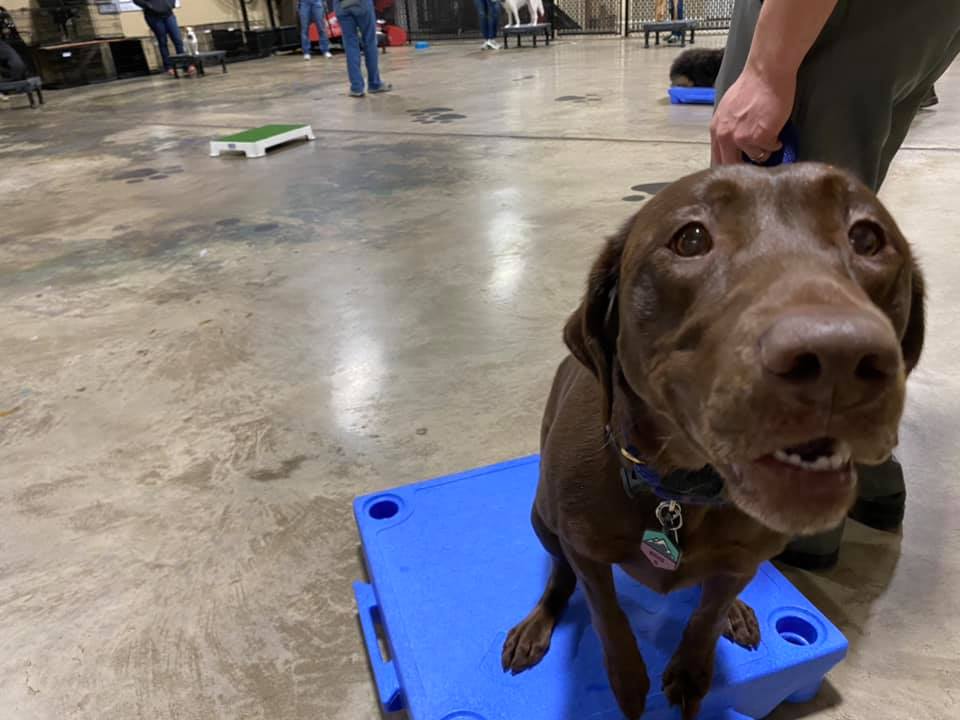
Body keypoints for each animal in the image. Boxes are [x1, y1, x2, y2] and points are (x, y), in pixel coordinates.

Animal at [501, 163, 925, 719]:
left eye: (868, 238)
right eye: (691, 238)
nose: (839, 358)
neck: (679, 494)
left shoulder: (742, 556)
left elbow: (708, 609)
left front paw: (692, 668)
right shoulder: (585, 550)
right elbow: (606, 612)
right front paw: (628, 681)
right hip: (542, 518)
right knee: (559, 577)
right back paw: (538, 621)